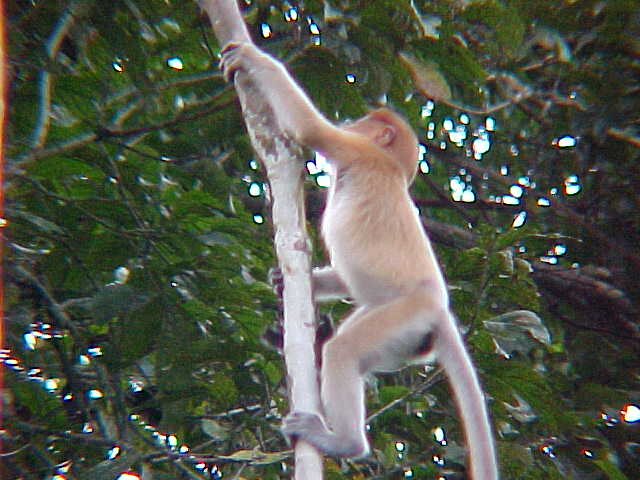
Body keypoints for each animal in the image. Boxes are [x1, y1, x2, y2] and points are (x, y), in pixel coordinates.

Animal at [221, 35, 500, 480]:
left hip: (404, 315)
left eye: (364, 123)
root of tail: (439, 310)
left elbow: (309, 128)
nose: (353, 120)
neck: (392, 168)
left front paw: (251, 58)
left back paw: (342, 440)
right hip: (404, 337)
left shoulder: (356, 151)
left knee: (346, 351)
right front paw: (286, 281)